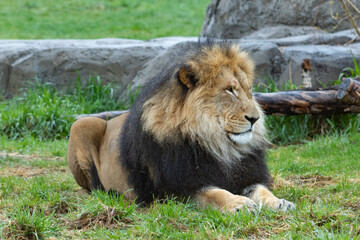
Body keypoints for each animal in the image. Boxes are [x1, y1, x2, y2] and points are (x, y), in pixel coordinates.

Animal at [67, 40, 296, 213]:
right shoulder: (175, 190)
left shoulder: (248, 174)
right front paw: (238, 203)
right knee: (90, 187)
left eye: (249, 91)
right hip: (82, 123)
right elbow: (215, 193)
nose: (255, 118)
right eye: (229, 90)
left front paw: (279, 202)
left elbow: (262, 190)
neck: (219, 145)